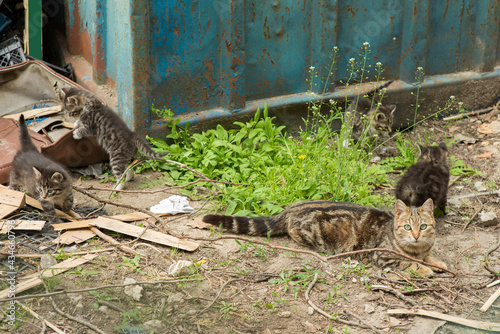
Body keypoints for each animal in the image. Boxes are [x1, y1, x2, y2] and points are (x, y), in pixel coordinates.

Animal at [203, 198, 446, 276]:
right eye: (407, 227)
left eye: (423, 226)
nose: (416, 235)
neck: (417, 249)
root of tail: (290, 209)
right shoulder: (383, 255)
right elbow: (409, 263)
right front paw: (424, 269)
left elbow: (429, 257)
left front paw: (437, 262)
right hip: (313, 232)